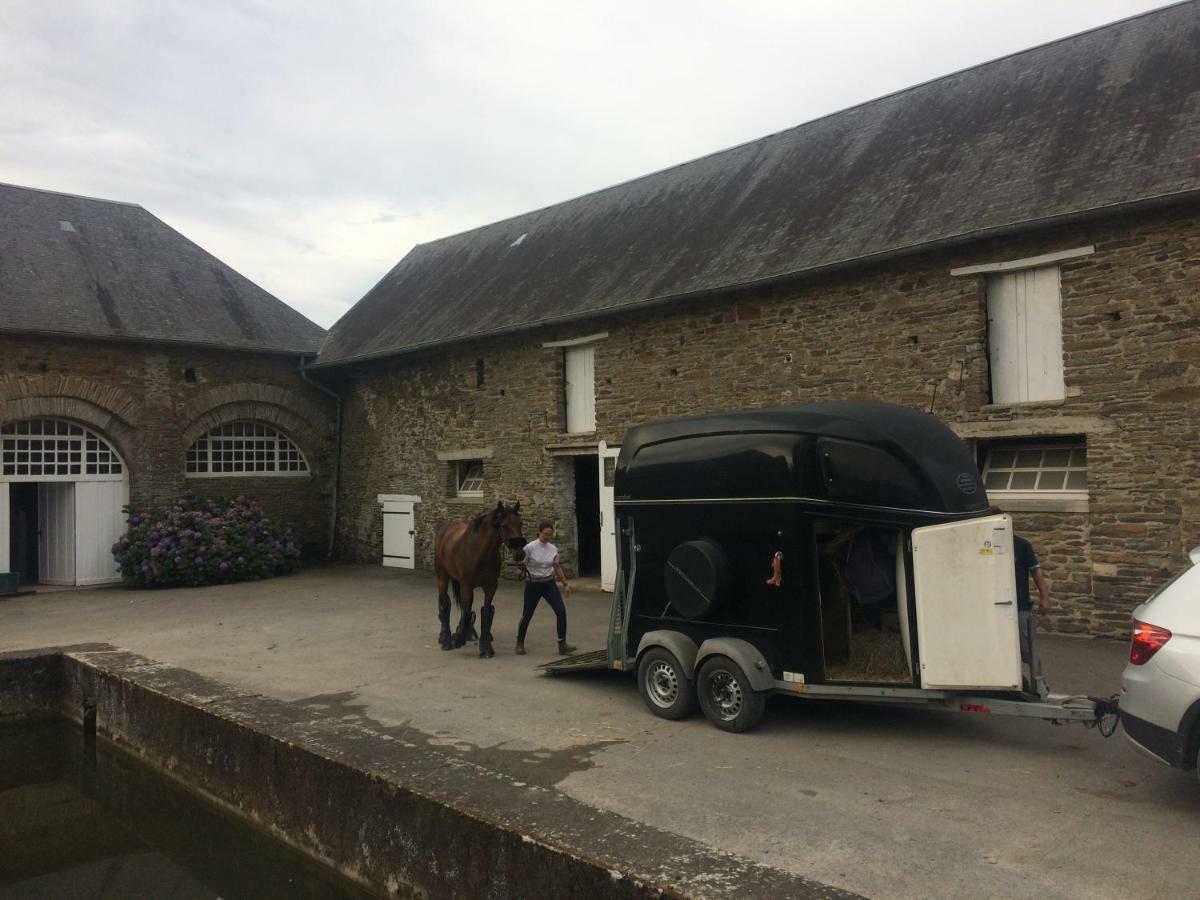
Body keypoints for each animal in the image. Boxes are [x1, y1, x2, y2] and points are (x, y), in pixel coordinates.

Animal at [432, 496, 525, 657]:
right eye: (505, 525)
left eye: (520, 524)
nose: (520, 553)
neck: (480, 552)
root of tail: (445, 531)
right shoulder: (467, 585)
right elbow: (467, 611)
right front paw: (458, 638)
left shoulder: (490, 587)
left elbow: (486, 612)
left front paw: (485, 646)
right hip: (442, 576)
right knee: (445, 603)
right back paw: (445, 639)